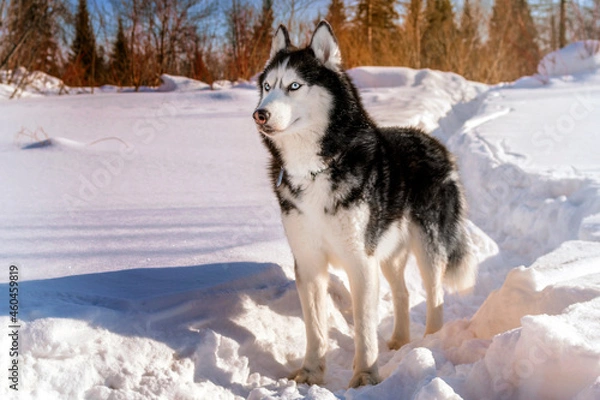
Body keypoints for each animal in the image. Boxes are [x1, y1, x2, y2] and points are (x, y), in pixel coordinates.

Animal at [251, 21, 476, 388]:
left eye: (294, 85)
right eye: (267, 87)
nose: (259, 114)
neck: (315, 169)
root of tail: (435, 143)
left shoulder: (360, 262)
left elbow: (364, 329)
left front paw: (366, 377)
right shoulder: (309, 263)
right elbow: (315, 329)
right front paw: (310, 374)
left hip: (427, 248)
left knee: (436, 296)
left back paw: (430, 343)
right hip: (387, 255)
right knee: (403, 294)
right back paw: (400, 341)